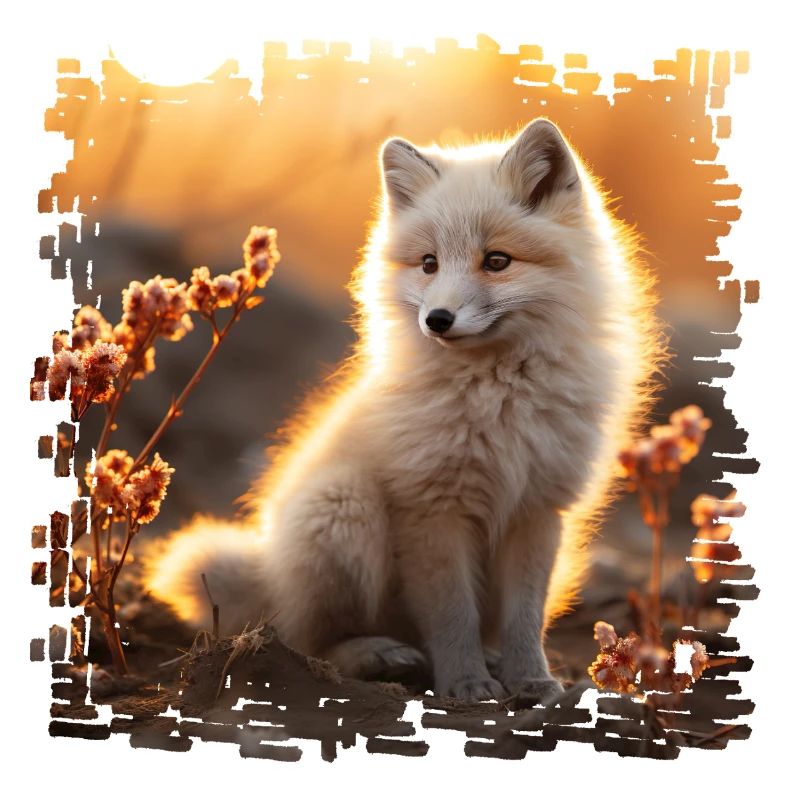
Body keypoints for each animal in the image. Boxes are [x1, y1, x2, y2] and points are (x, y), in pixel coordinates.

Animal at [144, 118, 662, 702]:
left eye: (497, 261)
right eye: (429, 264)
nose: (437, 319)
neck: (499, 399)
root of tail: (267, 572)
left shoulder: (537, 510)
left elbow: (525, 619)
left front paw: (531, 680)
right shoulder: (431, 509)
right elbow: (452, 616)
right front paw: (465, 685)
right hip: (343, 507)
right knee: (301, 638)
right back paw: (374, 657)